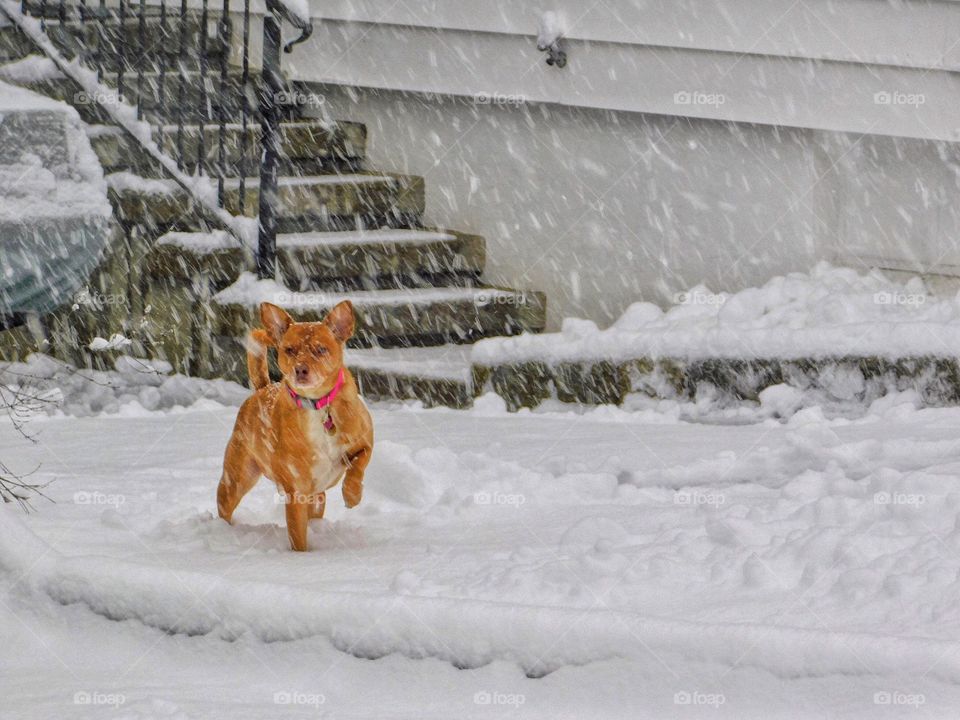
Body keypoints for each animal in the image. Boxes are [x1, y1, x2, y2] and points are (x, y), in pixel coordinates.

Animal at [217, 300, 372, 552]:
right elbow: (298, 536)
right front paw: (301, 558)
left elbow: (358, 464)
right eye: (289, 350)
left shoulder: (365, 442)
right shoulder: (296, 491)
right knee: (225, 506)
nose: (300, 369)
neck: (317, 405)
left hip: (317, 498)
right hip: (237, 479)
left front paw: (352, 495)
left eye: (321, 349)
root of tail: (263, 388)